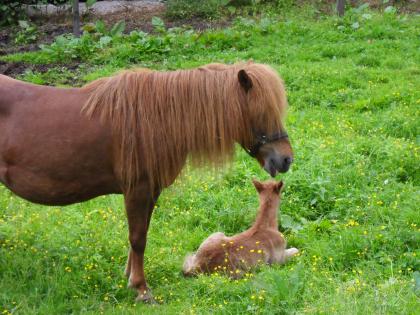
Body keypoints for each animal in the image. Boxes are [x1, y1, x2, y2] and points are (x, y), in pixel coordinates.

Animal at [0, 61, 294, 302]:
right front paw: (141, 289)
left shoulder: (150, 191)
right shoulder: (137, 191)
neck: (154, 120)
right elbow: (138, 238)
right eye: (262, 112)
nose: (286, 160)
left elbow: (138, 237)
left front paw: (130, 277)